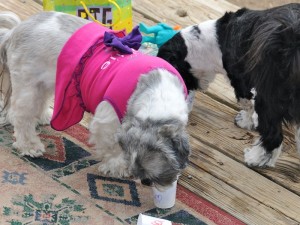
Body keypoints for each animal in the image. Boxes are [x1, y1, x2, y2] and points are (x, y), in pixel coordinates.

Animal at [0, 11, 190, 187]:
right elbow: (112, 146)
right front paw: (118, 166)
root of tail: (14, 31)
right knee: (20, 117)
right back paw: (29, 145)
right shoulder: (108, 121)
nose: (146, 180)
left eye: (164, 154)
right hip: (28, 87)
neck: (157, 89)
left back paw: (43, 116)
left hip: (46, 82)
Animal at [157, 3, 300, 167]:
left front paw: (245, 121)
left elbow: (247, 104)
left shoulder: (241, 81)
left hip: (268, 97)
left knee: (273, 134)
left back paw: (255, 159)